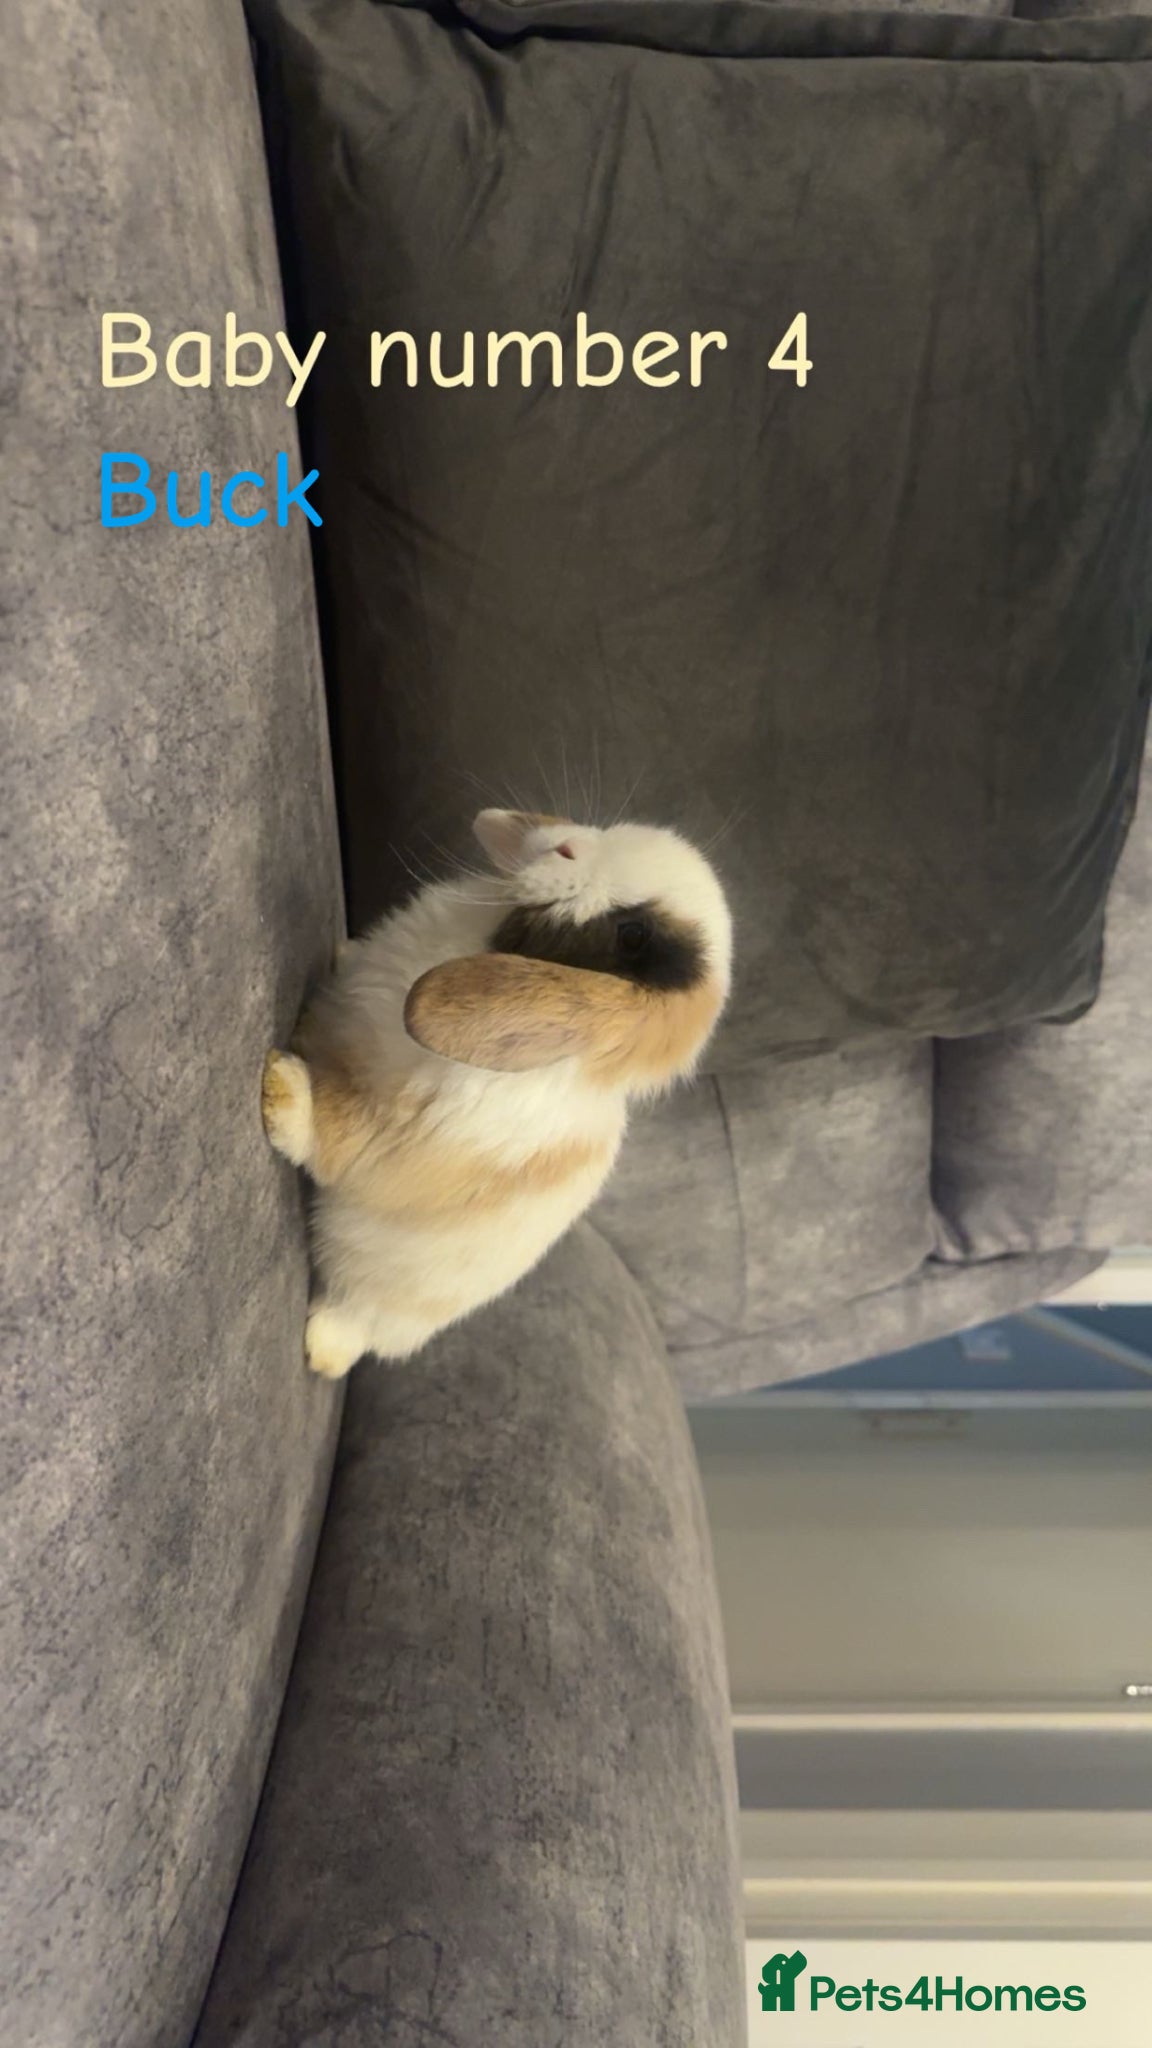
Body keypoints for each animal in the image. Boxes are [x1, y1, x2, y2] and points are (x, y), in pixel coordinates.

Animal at [261, 807, 732, 1378]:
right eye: (615, 831)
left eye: (634, 934)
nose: (564, 847)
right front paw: (338, 956)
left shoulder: (405, 1132)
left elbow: (336, 1138)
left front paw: (281, 1085)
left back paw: (322, 1350)